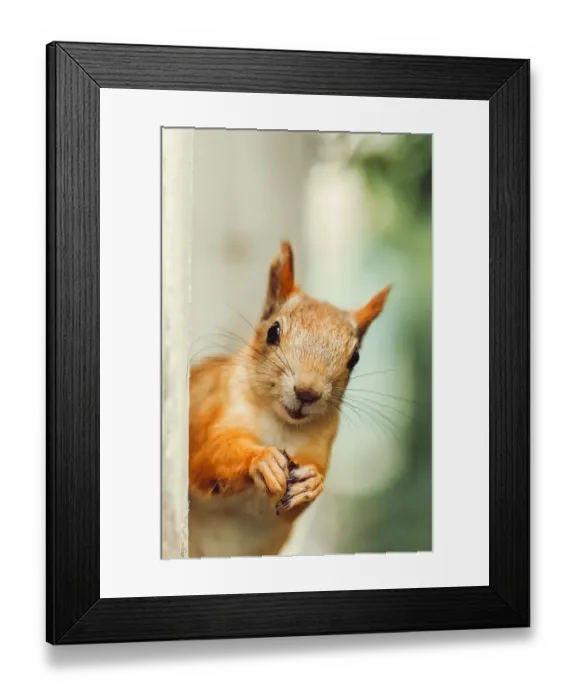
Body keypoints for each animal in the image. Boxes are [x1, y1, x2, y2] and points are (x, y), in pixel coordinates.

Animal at [188, 241, 391, 557]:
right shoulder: (214, 408)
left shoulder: (318, 446)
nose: (307, 392)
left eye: (355, 358)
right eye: (273, 332)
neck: (279, 424)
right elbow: (209, 455)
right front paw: (261, 459)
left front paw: (312, 482)